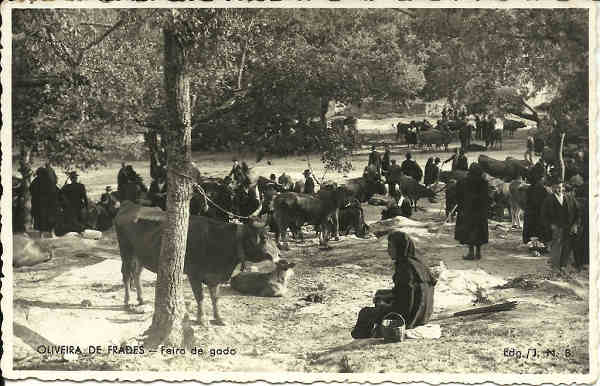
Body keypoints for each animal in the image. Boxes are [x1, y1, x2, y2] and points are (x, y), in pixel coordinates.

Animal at [115, 202, 282, 326]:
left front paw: (218, 318)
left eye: (270, 234)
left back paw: (141, 299)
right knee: (126, 274)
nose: (278, 255)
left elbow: (215, 297)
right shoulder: (193, 274)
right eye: (264, 237)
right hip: (126, 251)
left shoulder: (214, 276)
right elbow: (200, 297)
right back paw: (128, 301)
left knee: (136, 274)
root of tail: (130, 206)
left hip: (140, 255)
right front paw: (202, 319)